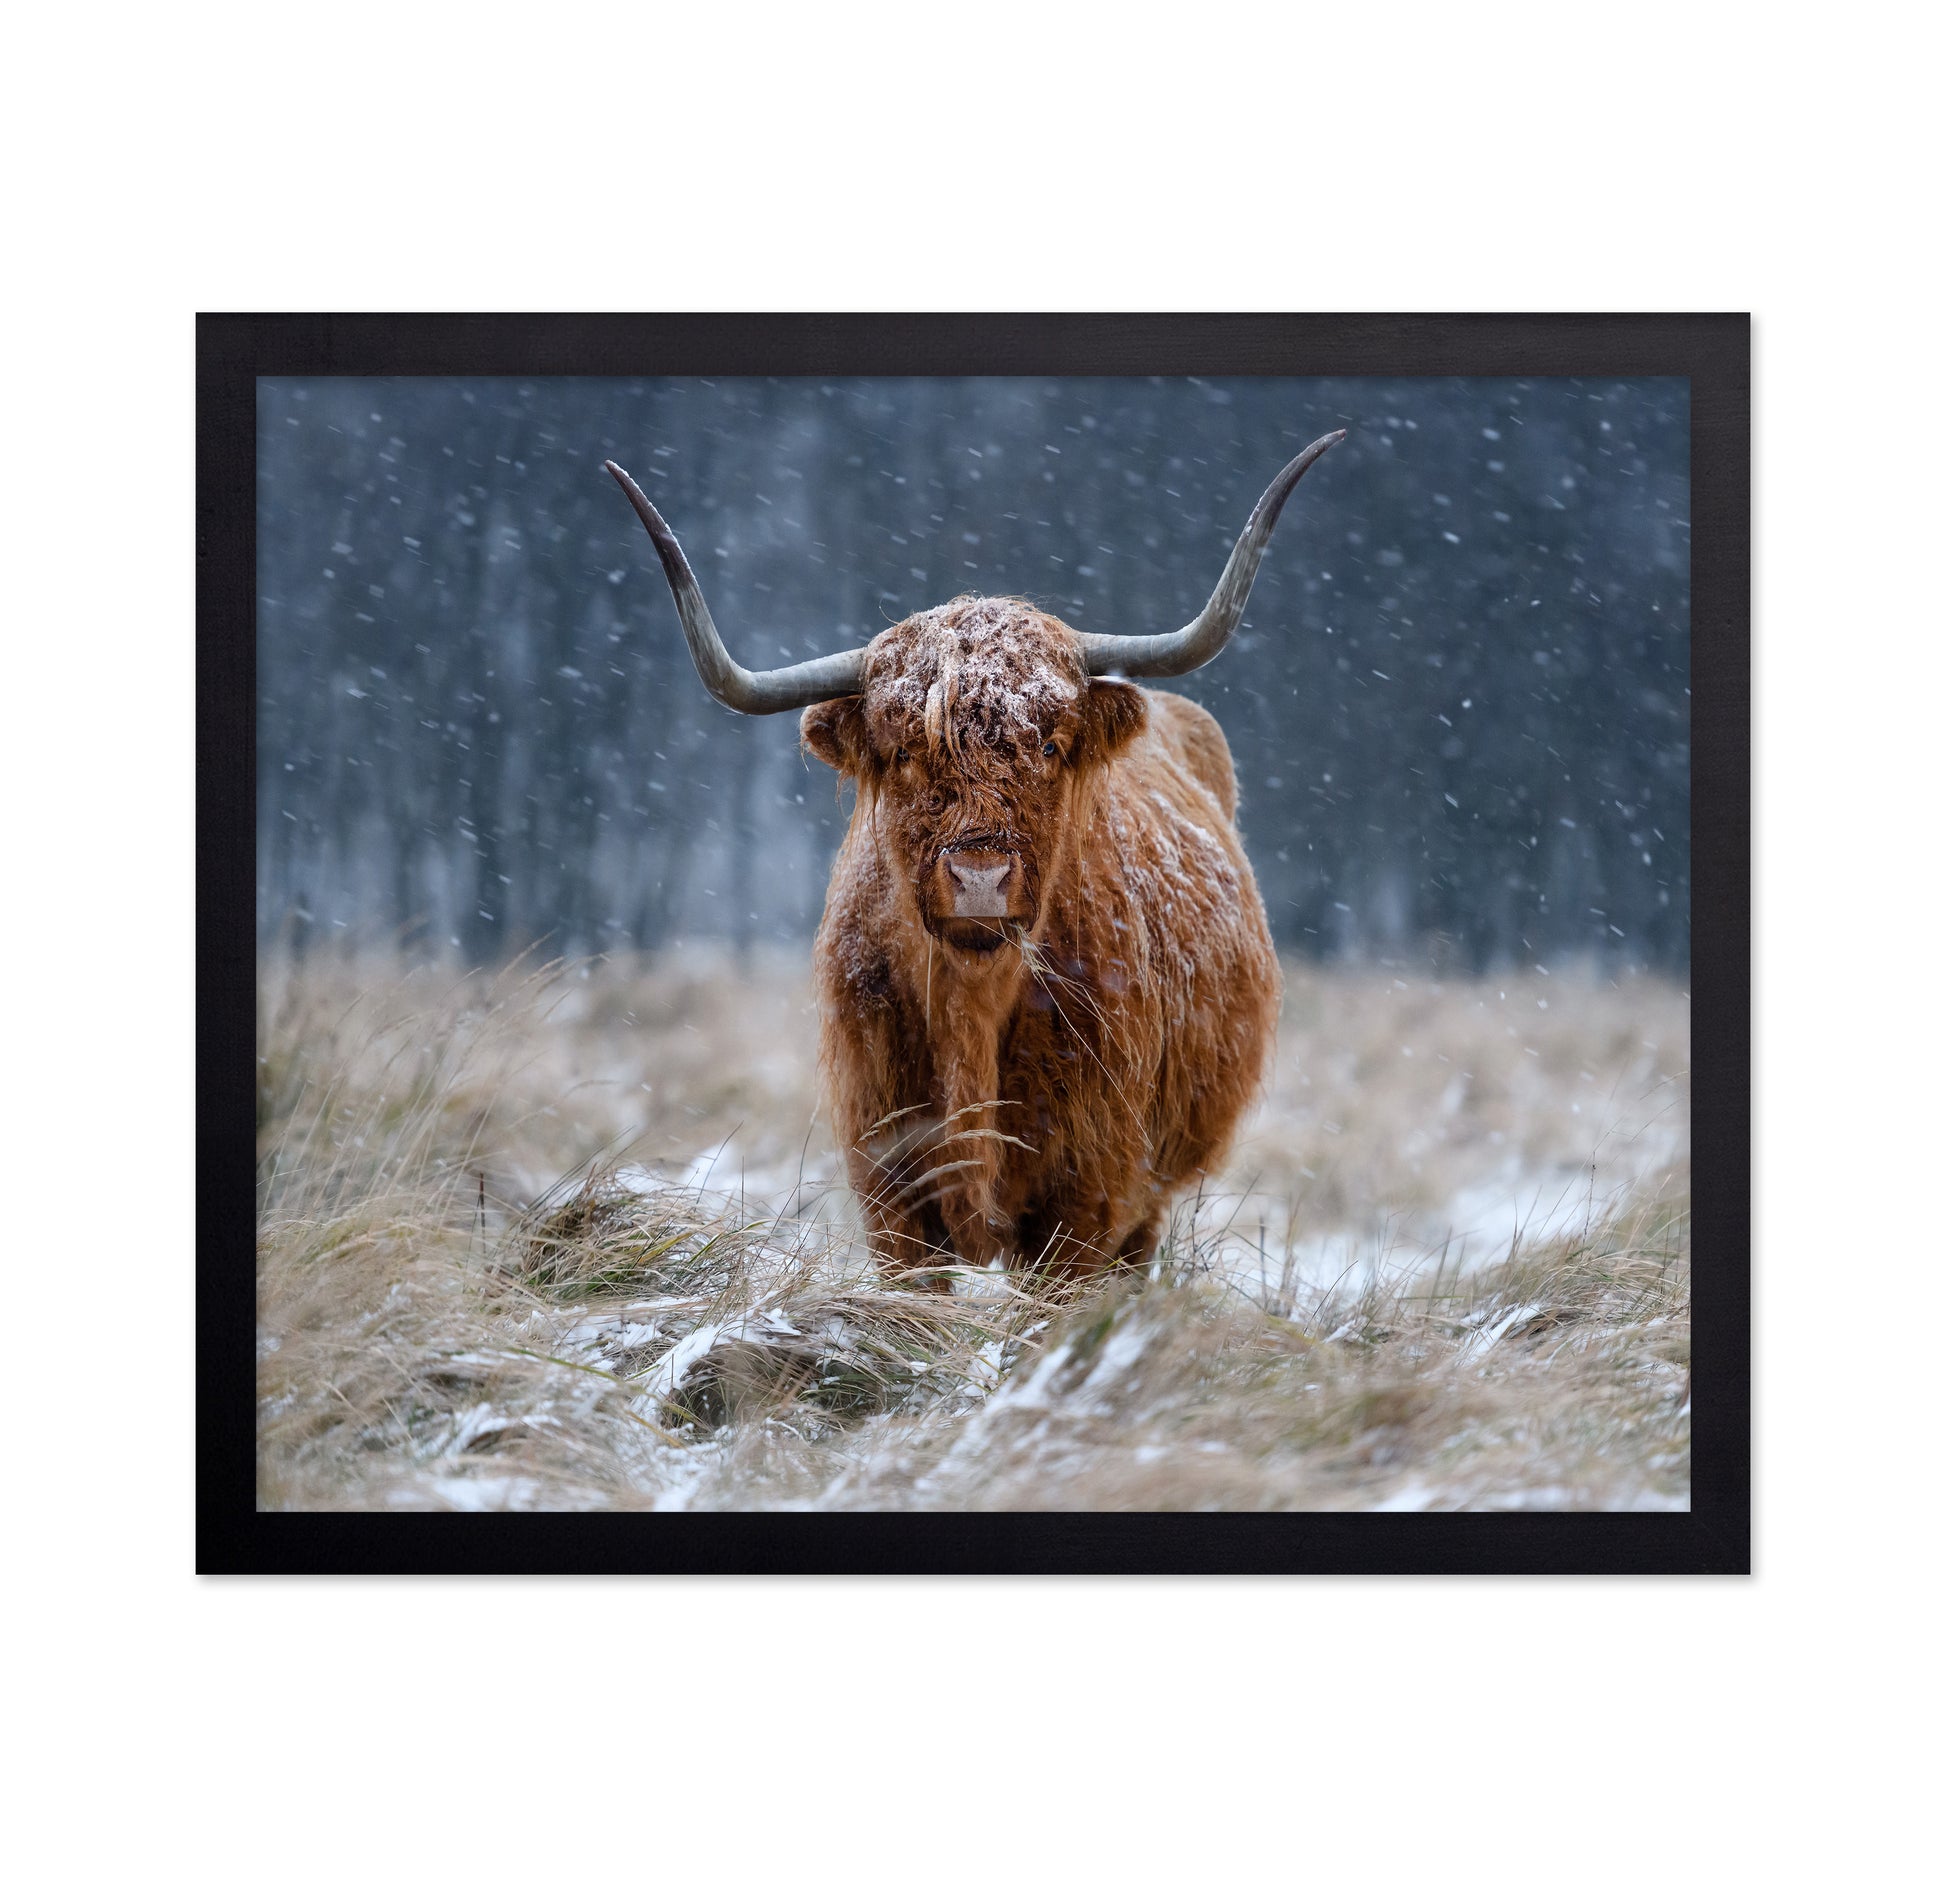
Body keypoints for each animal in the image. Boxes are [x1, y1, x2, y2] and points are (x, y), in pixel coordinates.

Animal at [606, 432, 1344, 1283]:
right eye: (903, 753)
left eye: (1050, 746)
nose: (980, 877)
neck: (972, 1007)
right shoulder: (889, 1186)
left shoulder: (1089, 1198)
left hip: (1150, 1197)